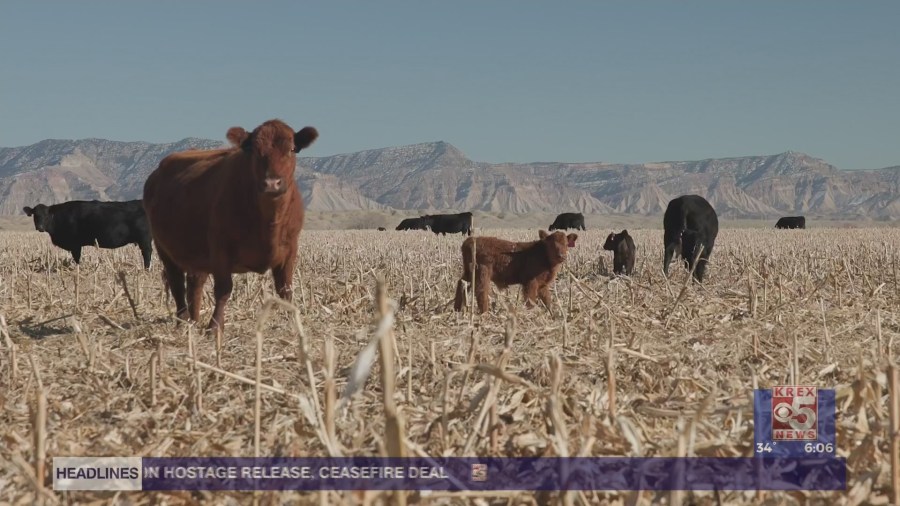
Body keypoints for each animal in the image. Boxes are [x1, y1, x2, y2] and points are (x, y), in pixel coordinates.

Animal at [22, 200, 152, 268]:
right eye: (35, 215)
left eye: (46, 215)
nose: (40, 227)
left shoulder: (75, 244)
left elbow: (77, 258)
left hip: (144, 239)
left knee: (147, 253)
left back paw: (146, 269)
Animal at [143, 118, 320, 332]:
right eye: (254, 149)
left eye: (292, 149)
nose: (272, 183)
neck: (269, 222)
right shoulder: (220, 249)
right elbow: (223, 290)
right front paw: (215, 327)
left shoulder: (290, 249)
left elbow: (286, 290)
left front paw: (294, 324)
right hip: (165, 249)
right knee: (177, 283)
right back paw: (183, 321)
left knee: (195, 282)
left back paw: (193, 319)